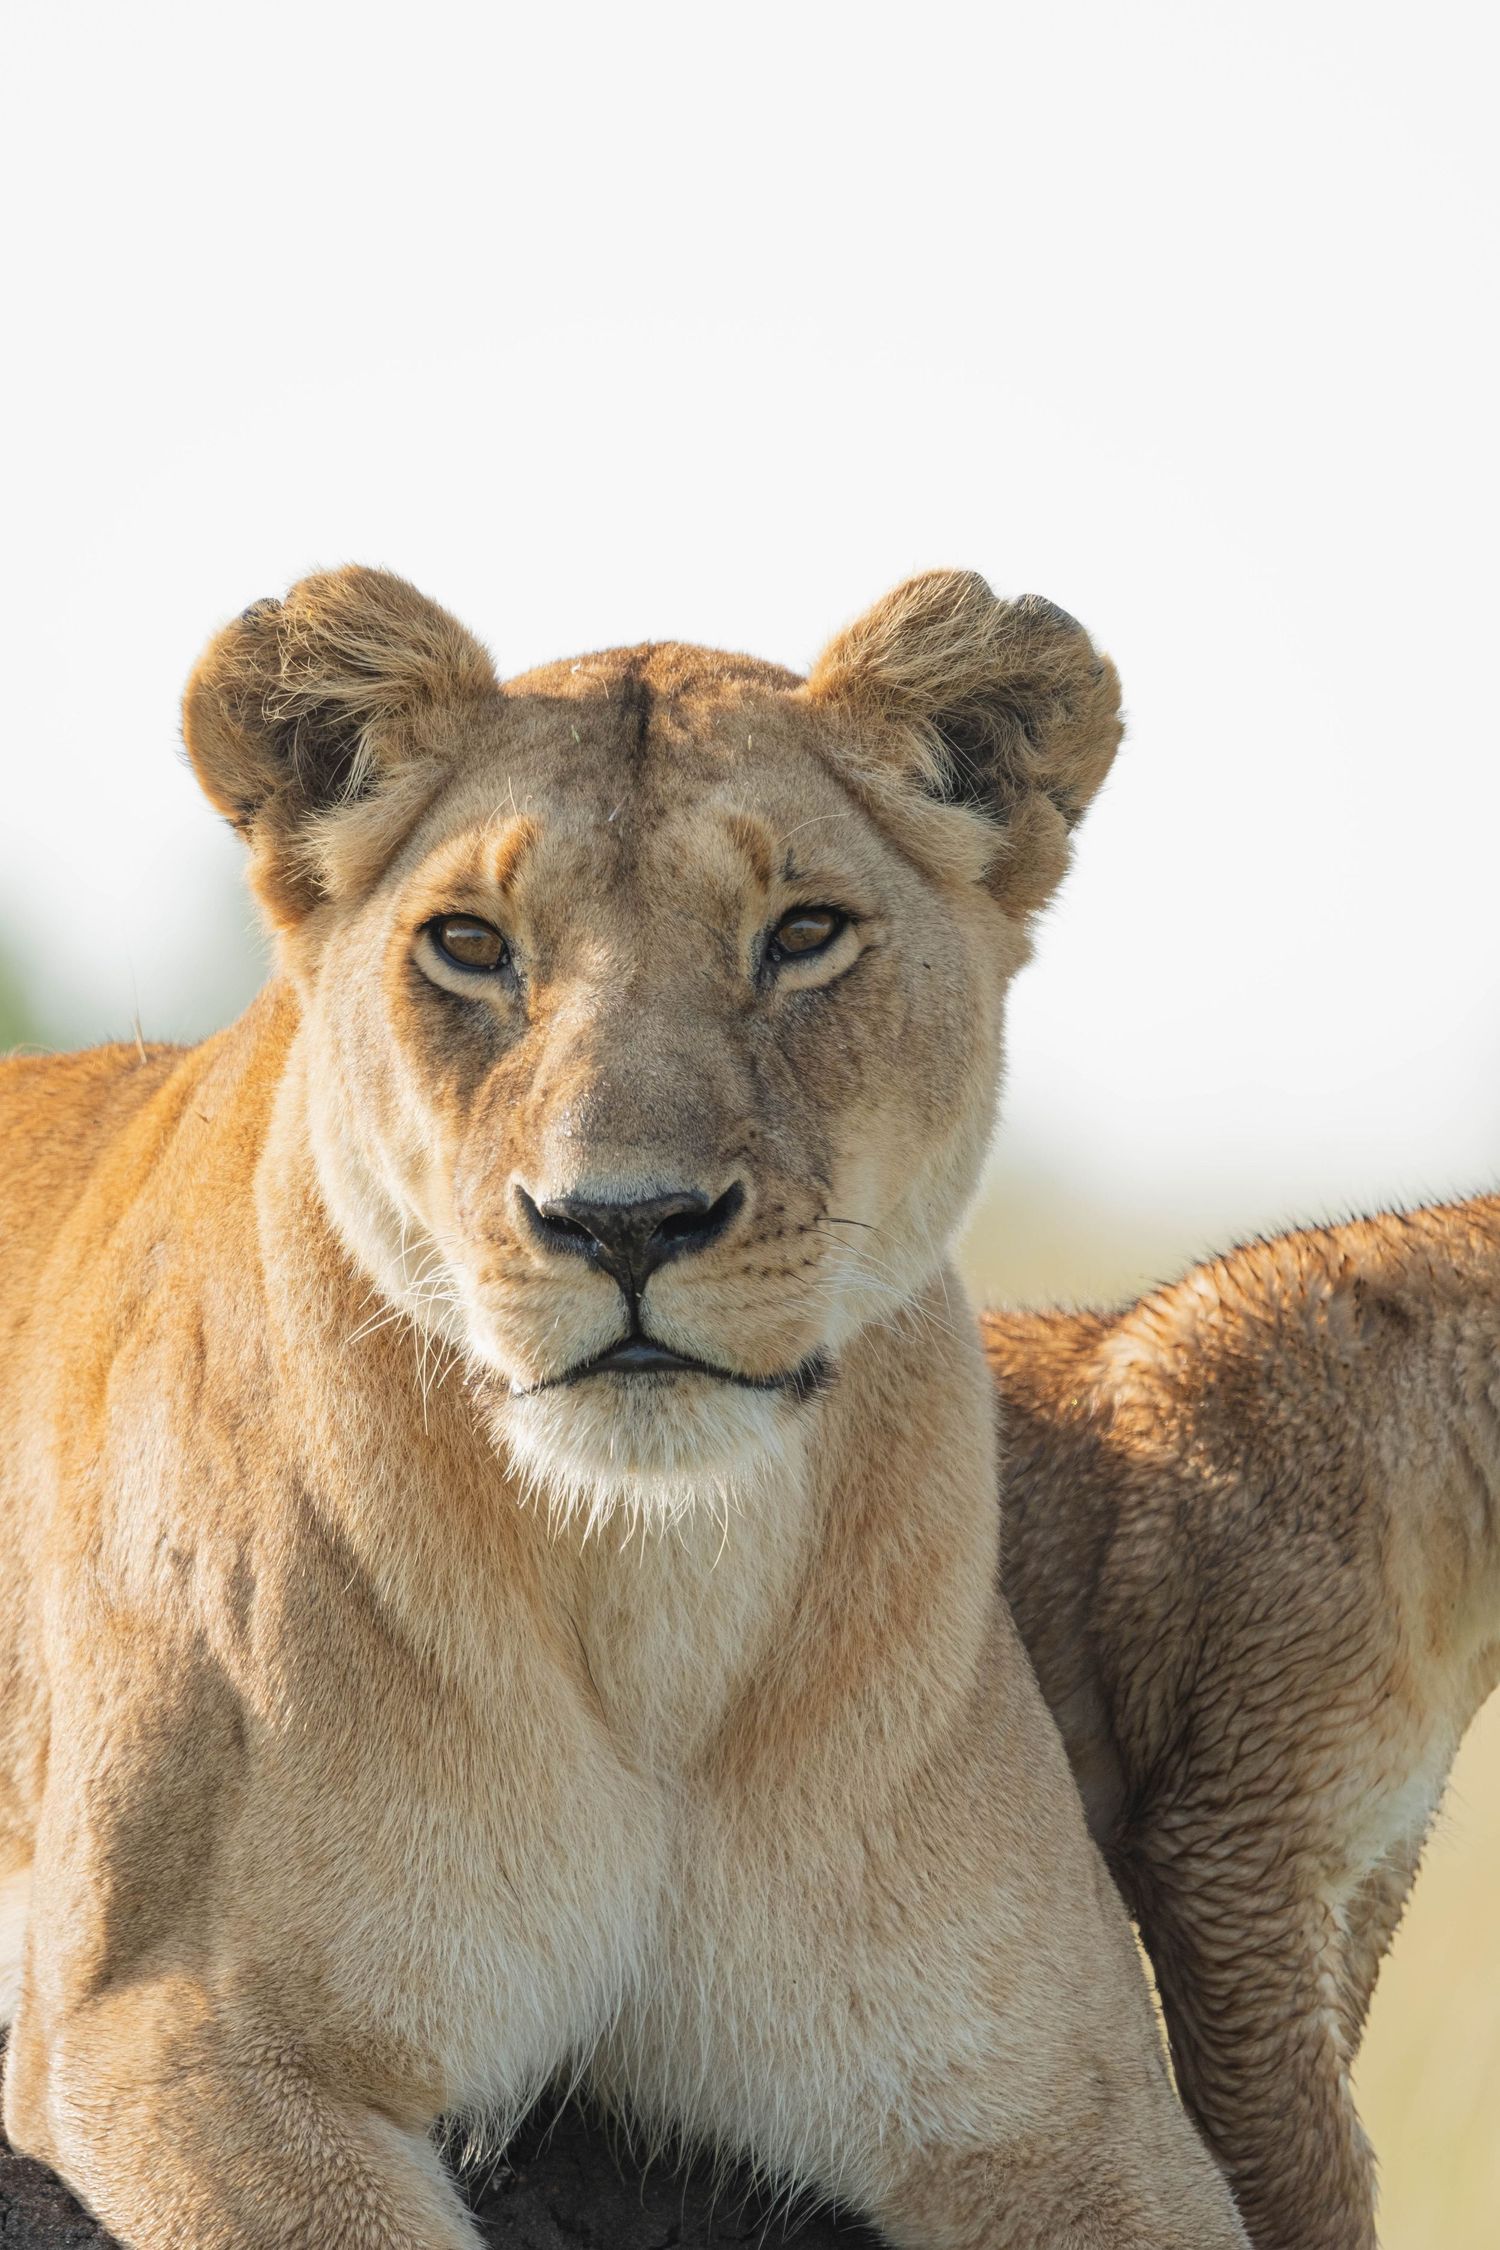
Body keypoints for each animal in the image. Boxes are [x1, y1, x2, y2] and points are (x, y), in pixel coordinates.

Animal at [0, 568, 1247, 2249]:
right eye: (470, 943)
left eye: (803, 932)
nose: (626, 1219)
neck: (649, 1603)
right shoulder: (181, 2023)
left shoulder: (1064, 2099)